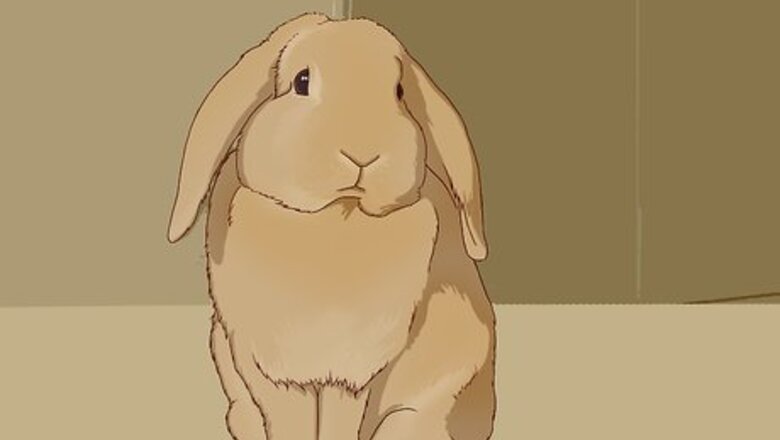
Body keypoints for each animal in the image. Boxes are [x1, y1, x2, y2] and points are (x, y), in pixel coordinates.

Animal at [167, 12, 496, 440]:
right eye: (301, 81)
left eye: (400, 91)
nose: (363, 152)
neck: (335, 222)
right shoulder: (272, 373)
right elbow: (288, 423)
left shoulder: (353, 376)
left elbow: (340, 423)